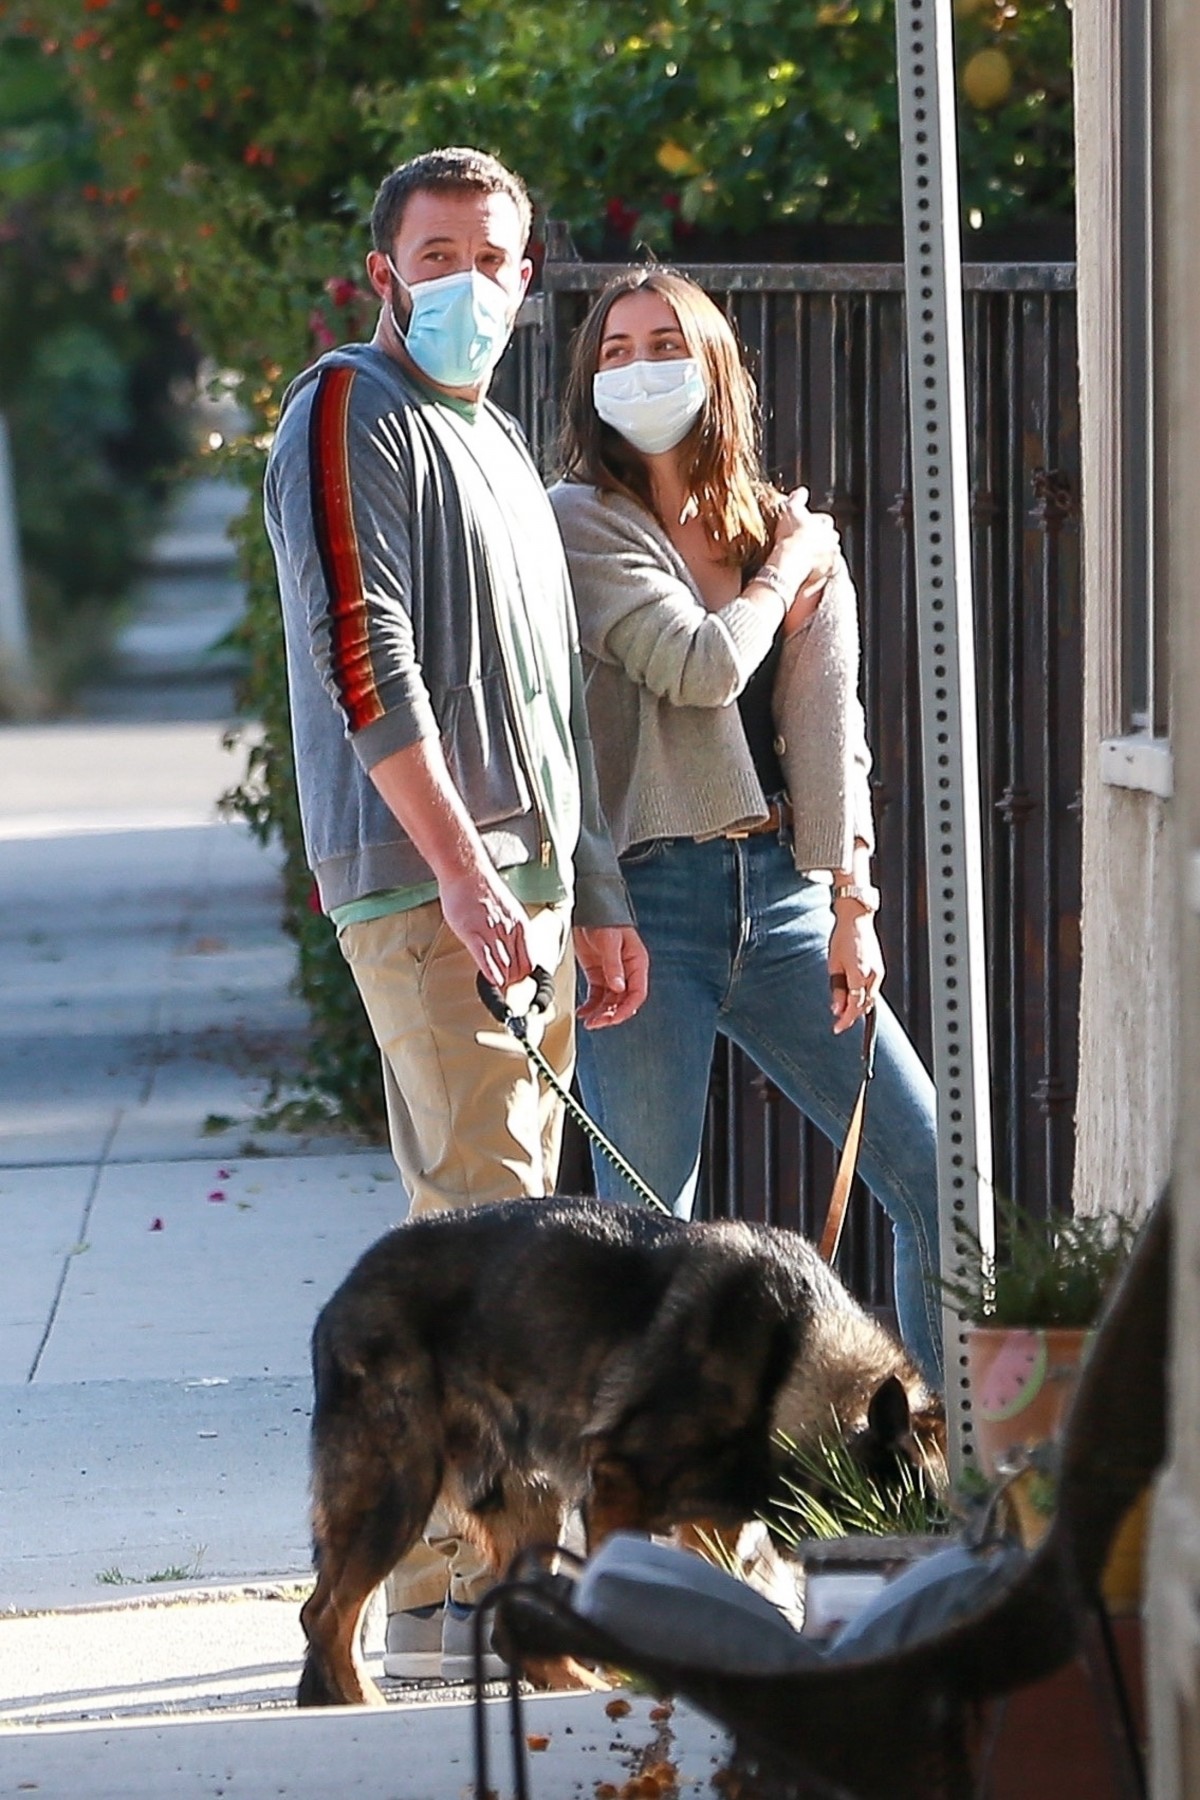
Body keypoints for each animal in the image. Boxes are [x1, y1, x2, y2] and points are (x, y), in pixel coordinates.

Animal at [295, 1195, 942, 1699]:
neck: (788, 1366)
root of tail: (344, 1292)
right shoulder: (617, 1490)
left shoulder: (713, 1525)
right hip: (397, 1493)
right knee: (326, 1615)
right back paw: (361, 1701)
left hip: (529, 1500)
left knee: (503, 1623)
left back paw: (575, 1680)